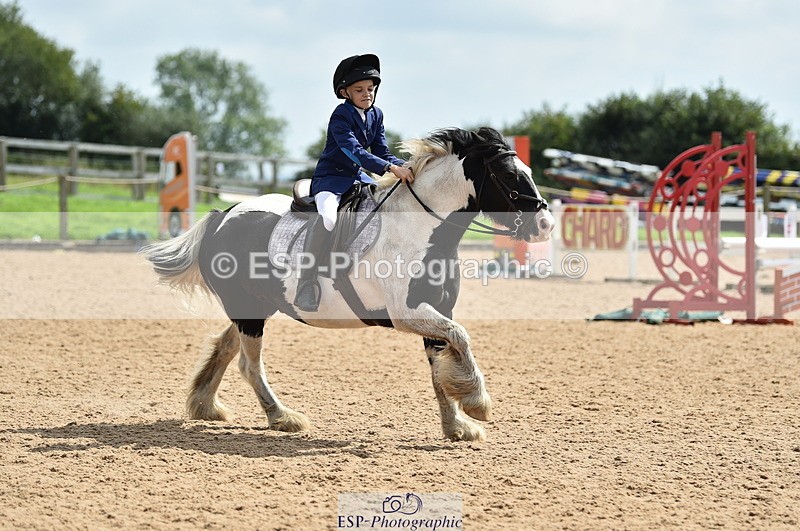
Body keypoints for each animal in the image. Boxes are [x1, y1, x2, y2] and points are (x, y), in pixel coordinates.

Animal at [143, 127, 555, 441]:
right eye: (510, 177)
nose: (546, 225)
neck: (419, 228)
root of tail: (222, 215)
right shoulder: (408, 314)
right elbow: (461, 337)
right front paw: (476, 403)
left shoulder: (436, 310)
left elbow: (441, 365)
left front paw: (456, 426)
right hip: (250, 312)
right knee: (249, 364)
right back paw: (281, 417)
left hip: (256, 306)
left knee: (228, 347)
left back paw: (205, 405)